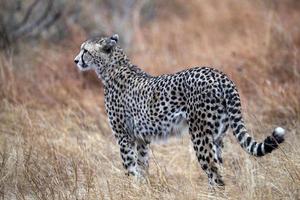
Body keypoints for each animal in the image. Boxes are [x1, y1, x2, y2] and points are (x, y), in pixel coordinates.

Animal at [74, 34, 284, 188]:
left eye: (85, 50)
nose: (76, 60)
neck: (114, 68)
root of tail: (220, 75)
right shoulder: (141, 139)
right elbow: (142, 166)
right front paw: (143, 188)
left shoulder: (124, 137)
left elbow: (130, 168)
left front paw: (132, 189)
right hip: (218, 136)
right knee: (219, 168)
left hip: (200, 135)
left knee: (214, 172)